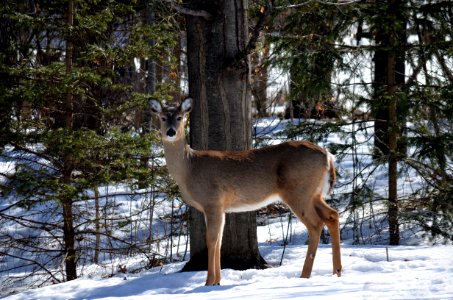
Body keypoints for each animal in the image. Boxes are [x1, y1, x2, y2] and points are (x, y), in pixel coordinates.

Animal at [150, 97, 340, 284]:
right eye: (163, 118)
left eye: (179, 117)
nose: (171, 132)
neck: (189, 168)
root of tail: (327, 156)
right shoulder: (219, 207)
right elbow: (219, 241)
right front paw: (217, 281)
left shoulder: (212, 201)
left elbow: (211, 240)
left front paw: (209, 282)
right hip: (314, 193)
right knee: (332, 215)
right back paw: (337, 271)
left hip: (298, 191)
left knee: (315, 224)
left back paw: (305, 275)